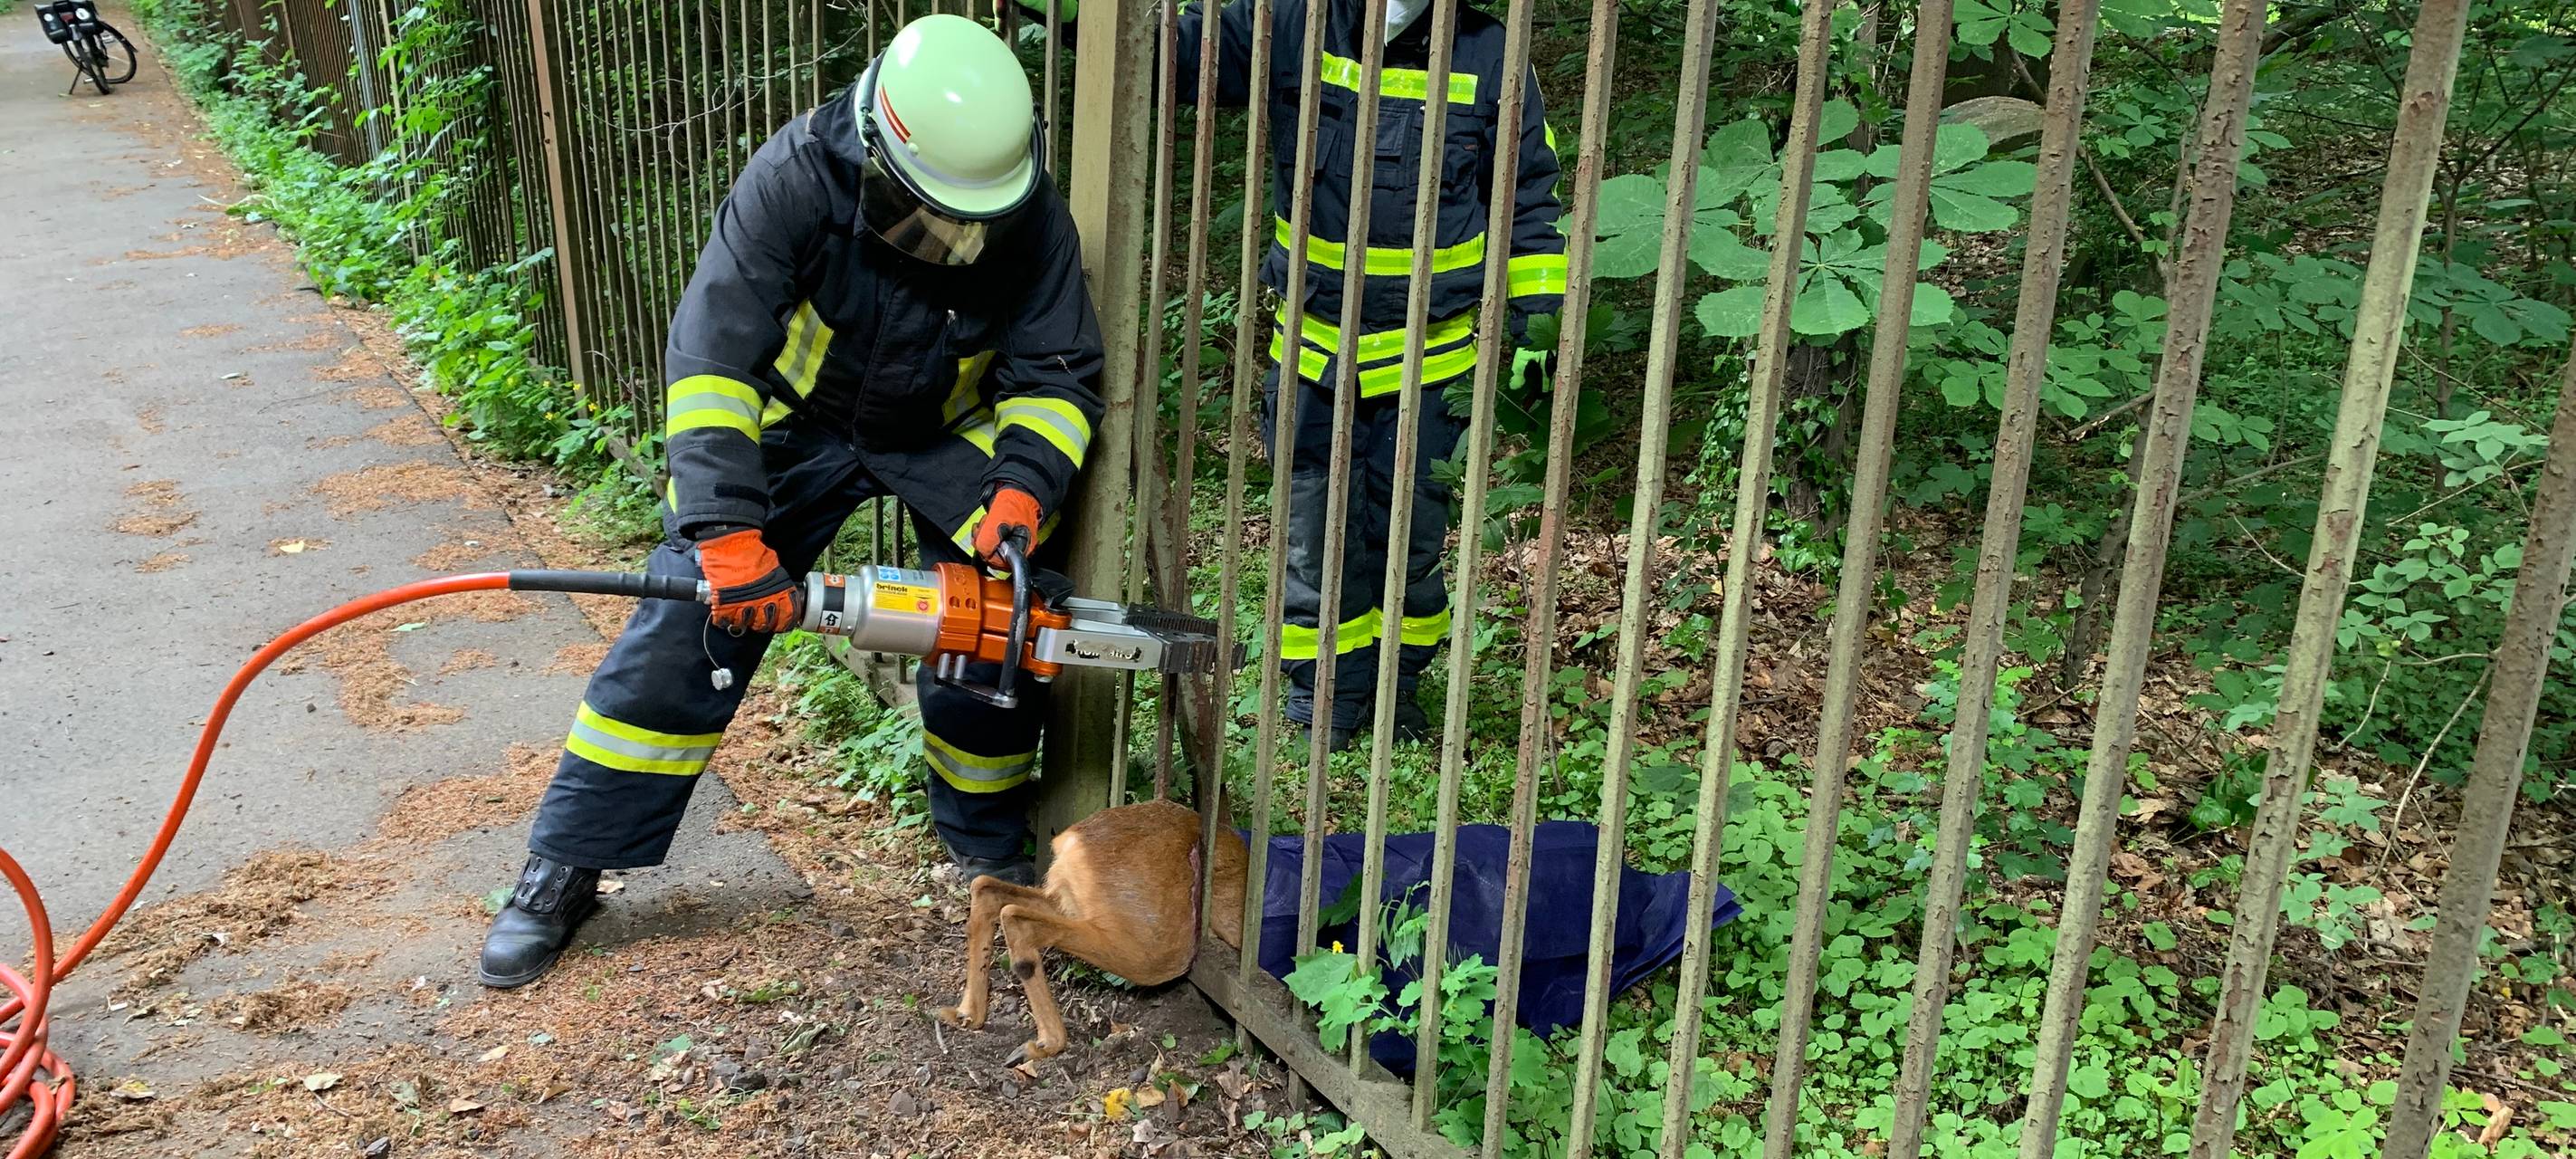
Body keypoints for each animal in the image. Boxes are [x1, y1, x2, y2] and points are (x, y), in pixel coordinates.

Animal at [934, 798, 1249, 1063]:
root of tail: (1071, 841)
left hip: (1069, 900)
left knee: (986, 888)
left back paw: (966, 1015)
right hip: (1156, 947)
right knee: (1016, 918)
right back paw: (1046, 1043)